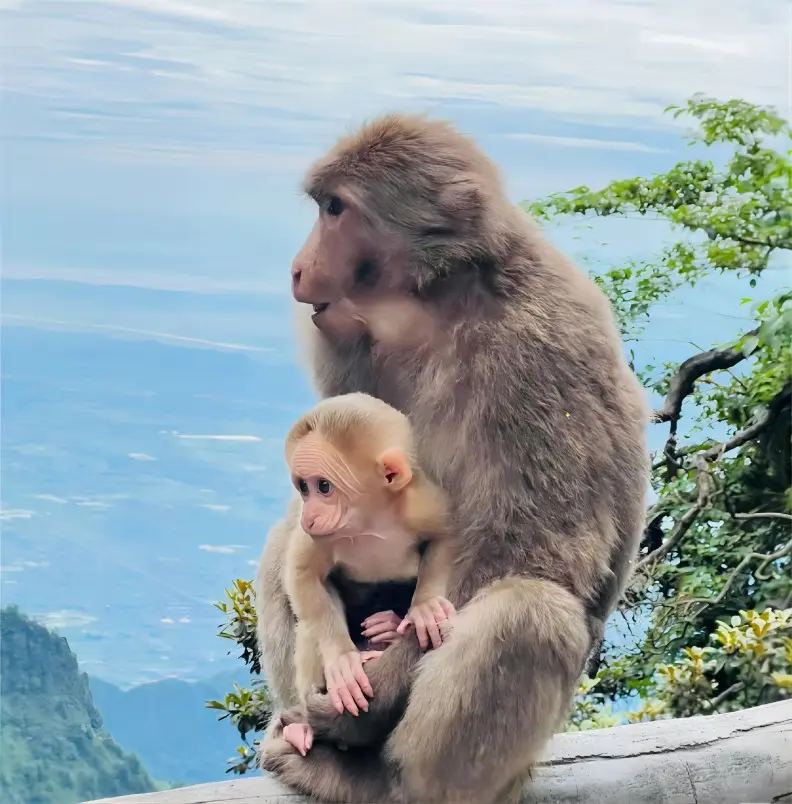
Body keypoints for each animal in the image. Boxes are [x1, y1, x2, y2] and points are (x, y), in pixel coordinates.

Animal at [278, 392, 456, 755]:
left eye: (323, 487)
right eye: (303, 488)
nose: (308, 517)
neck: (369, 520)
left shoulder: (419, 504)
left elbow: (444, 536)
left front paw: (425, 607)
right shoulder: (320, 536)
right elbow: (304, 575)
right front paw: (343, 660)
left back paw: (388, 625)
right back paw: (303, 726)